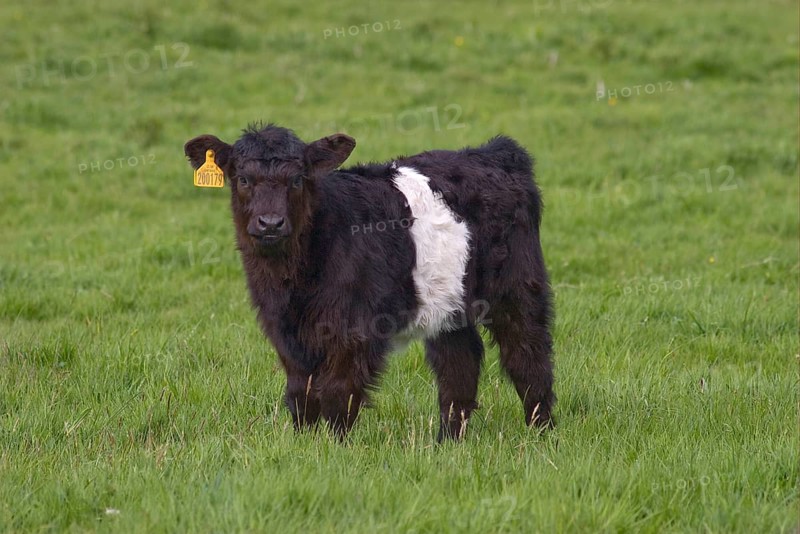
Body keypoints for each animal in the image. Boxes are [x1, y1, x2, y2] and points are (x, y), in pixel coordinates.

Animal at [184, 123, 554, 441]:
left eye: (298, 179)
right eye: (243, 179)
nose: (271, 223)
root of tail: (495, 152)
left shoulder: (354, 329)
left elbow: (338, 392)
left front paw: (335, 449)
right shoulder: (282, 329)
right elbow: (301, 392)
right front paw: (305, 444)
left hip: (519, 286)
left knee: (528, 355)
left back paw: (542, 433)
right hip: (450, 301)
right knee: (459, 363)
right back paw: (448, 442)